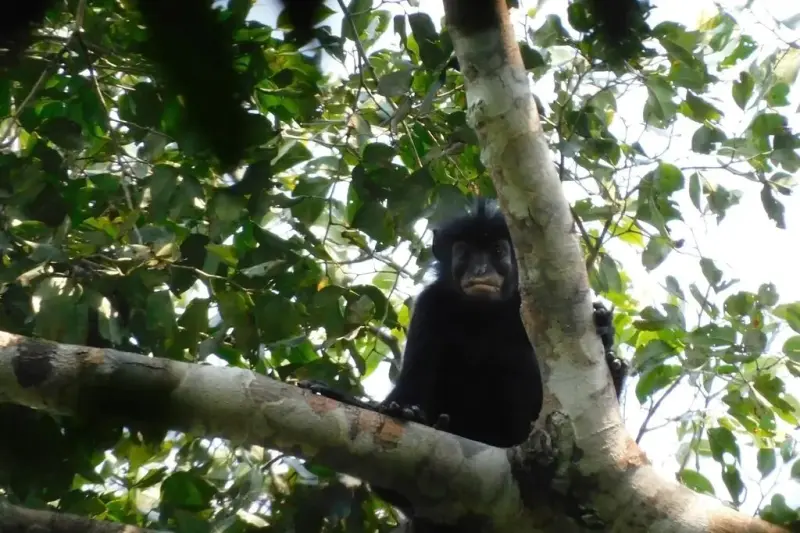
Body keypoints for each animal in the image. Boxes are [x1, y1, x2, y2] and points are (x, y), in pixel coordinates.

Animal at [299, 198, 628, 531]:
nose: (481, 270)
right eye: (465, 252)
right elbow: (408, 388)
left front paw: (604, 329)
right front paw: (372, 404)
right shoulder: (430, 304)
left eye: (496, 251)